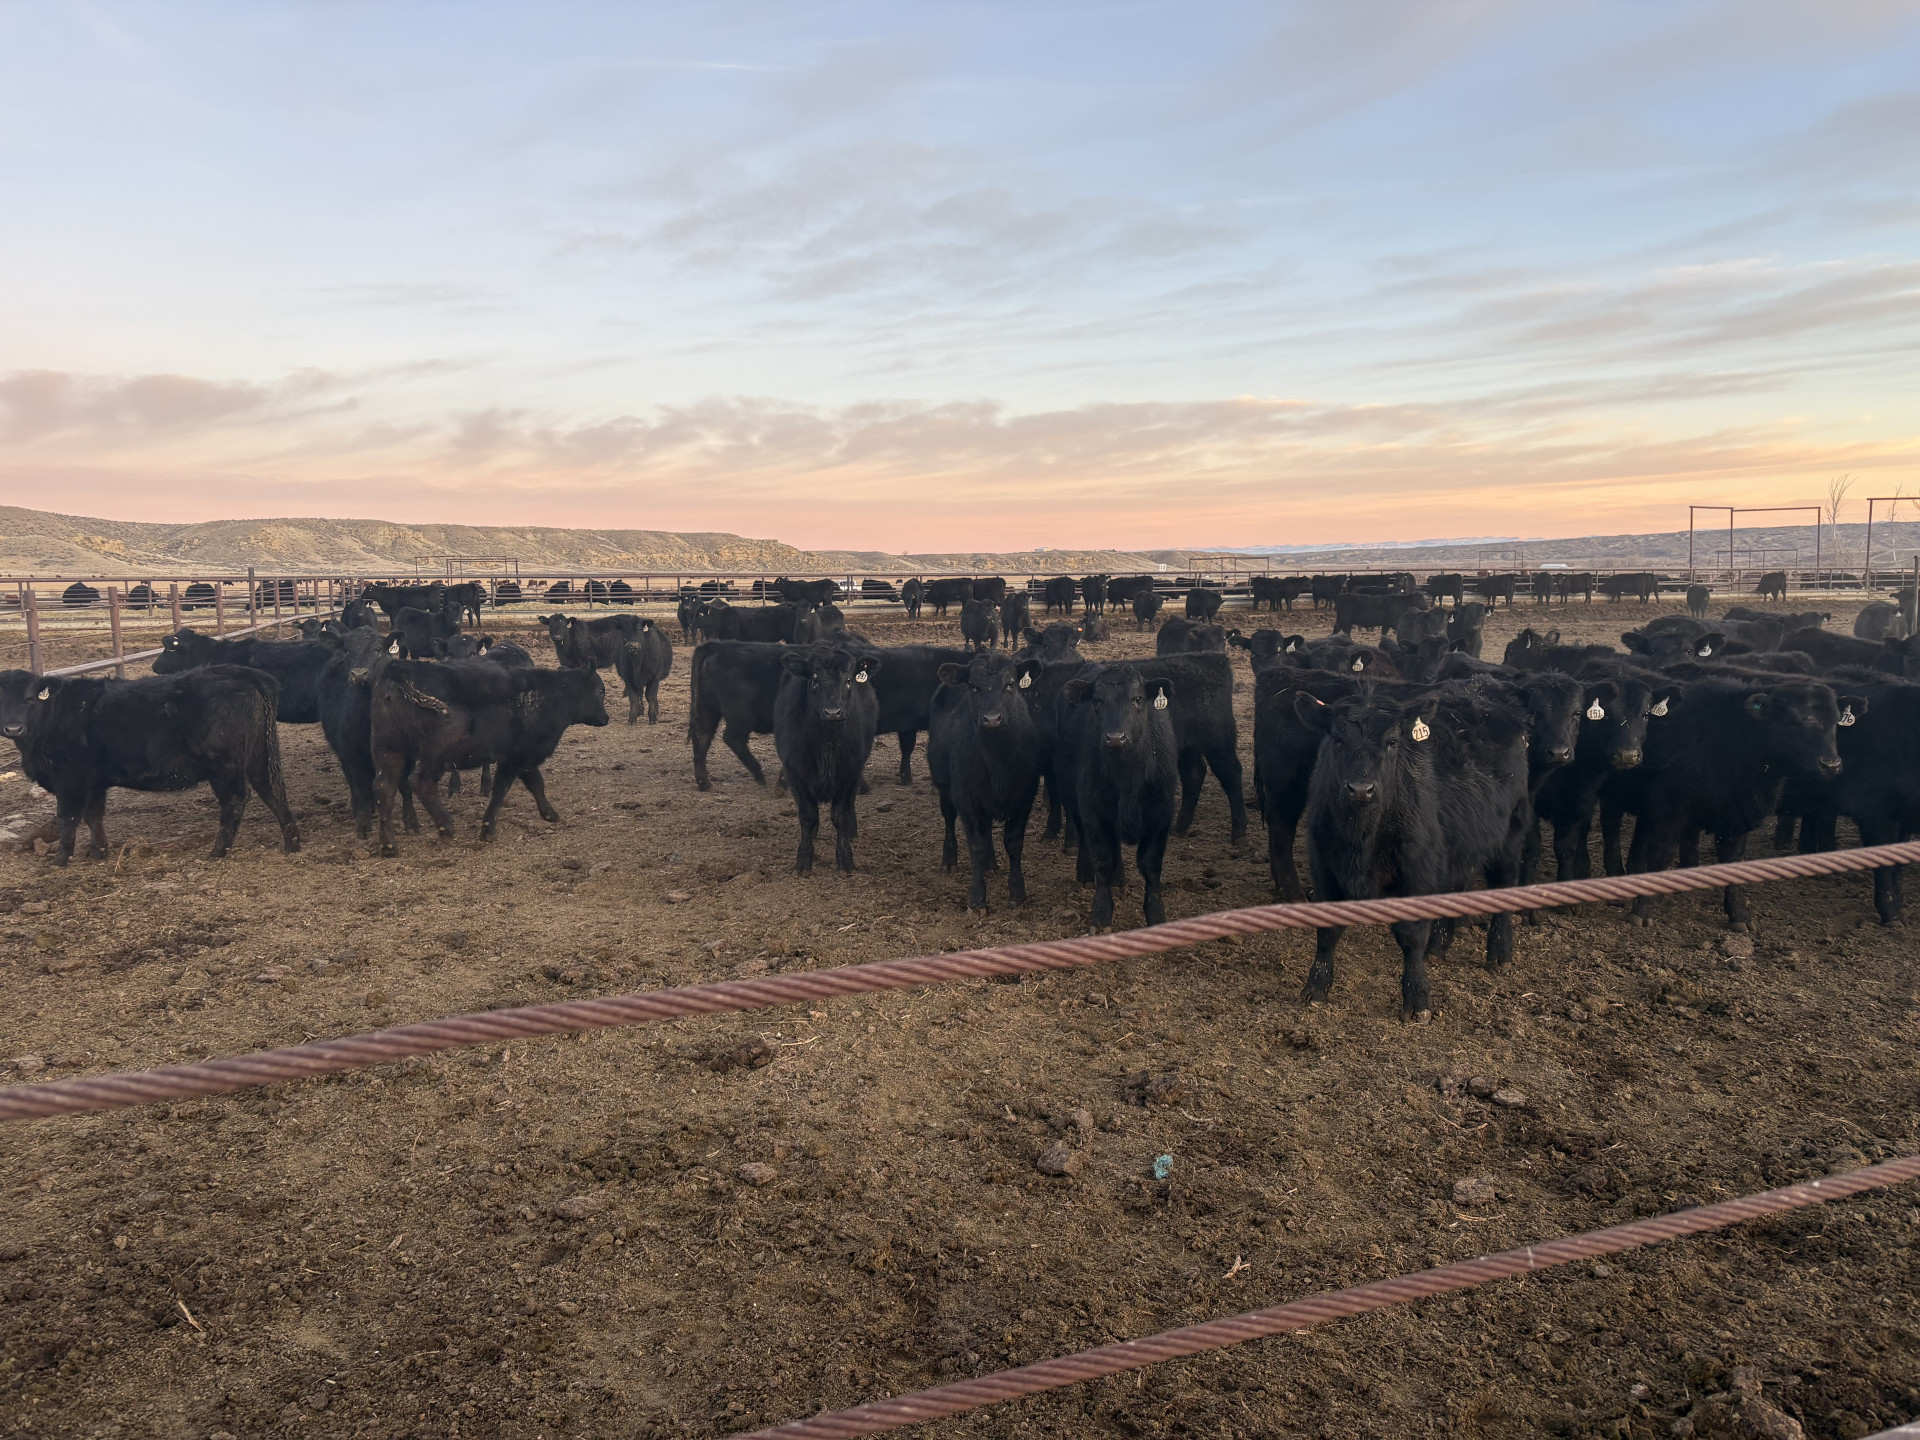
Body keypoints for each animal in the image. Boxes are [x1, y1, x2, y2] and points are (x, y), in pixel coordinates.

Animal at [0, 666, 299, 865]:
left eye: (30, 698)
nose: (13, 727)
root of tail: (243, 674)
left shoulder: (71, 778)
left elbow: (68, 817)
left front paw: (61, 859)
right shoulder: (94, 782)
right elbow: (93, 816)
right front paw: (98, 852)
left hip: (223, 764)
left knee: (235, 800)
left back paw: (217, 851)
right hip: (258, 756)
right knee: (272, 791)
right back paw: (291, 843)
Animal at [369, 657, 608, 854]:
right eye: (601, 691)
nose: (606, 718)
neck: (550, 695)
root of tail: (400, 668)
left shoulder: (525, 756)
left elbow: (536, 784)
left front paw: (549, 813)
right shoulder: (513, 759)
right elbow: (500, 790)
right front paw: (488, 829)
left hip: (389, 751)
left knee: (384, 788)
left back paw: (388, 844)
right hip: (436, 756)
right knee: (421, 783)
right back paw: (445, 825)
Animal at [773, 646, 881, 874]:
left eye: (848, 680)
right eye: (814, 680)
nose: (832, 712)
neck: (827, 741)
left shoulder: (850, 773)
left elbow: (839, 815)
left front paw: (845, 860)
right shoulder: (795, 773)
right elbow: (808, 816)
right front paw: (803, 861)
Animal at [928, 651, 1042, 908]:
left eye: (1010, 683)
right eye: (972, 686)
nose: (991, 719)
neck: (997, 758)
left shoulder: (1024, 796)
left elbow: (1013, 842)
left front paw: (1017, 890)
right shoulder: (967, 798)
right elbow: (976, 845)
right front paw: (978, 898)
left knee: (987, 826)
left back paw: (991, 864)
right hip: (944, 785)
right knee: (949, 819)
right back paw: (949, 858)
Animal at [1056, 663, 1179, 928]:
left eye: (1138, 699)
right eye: (1097, 700)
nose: (1115, 737)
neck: (1127, 777)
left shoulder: (1161, 813)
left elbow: (1151, 865)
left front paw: (1156, 912)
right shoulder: (1093, 812)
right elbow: (1103, 860)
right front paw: (1101, 913)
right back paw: (1086, 874)